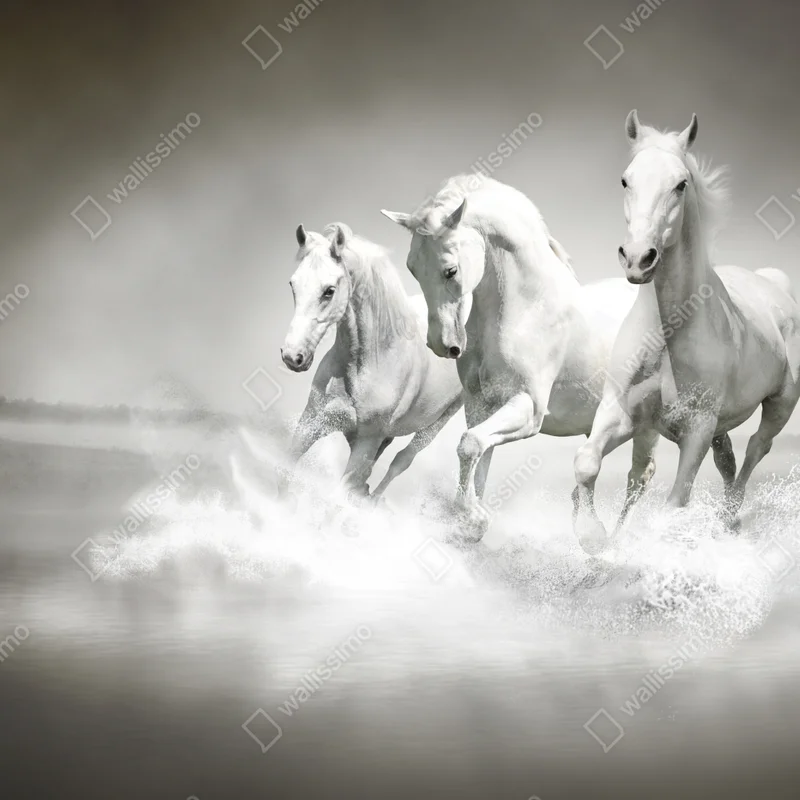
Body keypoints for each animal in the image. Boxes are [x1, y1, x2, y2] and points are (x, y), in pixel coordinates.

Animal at [276, 222, 463, 503]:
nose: (292, 356)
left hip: (437, 423)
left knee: (401, 460)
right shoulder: (312, 422)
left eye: (329, 291)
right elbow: (284, 475)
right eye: (292, 284)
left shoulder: (367, 441)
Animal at [381, 174, 652, 540]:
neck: (526, 308)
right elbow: (478, 455)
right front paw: (471, 522)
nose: (442, 345)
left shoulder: (528, 407)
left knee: (641, 476)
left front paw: (473, 517)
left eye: (450, 270)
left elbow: (469, 446)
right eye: (412, 269)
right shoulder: (481, 406)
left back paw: (609, 542)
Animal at [572, 111, 800, 553]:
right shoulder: (622, 413)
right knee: (725, 460)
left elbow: (675, 503)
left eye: (680, 184)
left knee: (754, 452)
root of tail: (773, 284)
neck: (669, 336)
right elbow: (588, 463)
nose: (638, 259)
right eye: (625, 180)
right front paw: (594, 538)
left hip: (780, 405)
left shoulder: (697, 429)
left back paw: (728, 522)